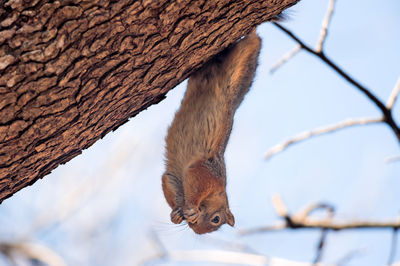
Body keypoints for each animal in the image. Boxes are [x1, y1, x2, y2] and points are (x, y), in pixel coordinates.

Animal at [161, 29, 260, 234]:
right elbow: (193, 179)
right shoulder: (206, 172)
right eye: (217, 219)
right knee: (251, 42)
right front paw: (189, 208)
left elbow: (167, 181)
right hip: (243, 63)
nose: (196, 229)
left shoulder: (175, 174)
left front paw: (177, 213)